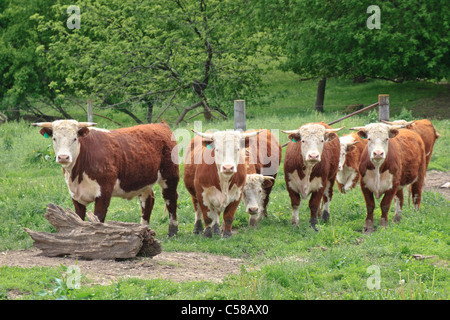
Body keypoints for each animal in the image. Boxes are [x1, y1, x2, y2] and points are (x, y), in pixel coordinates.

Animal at [31, 119, 180, 236]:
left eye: (75, 138)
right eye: (54, 138)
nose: (63, 157)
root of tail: (160, 125)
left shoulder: (104, 192)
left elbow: (98, 218)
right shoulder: (75, 195)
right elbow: (78, 218)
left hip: (170, 176)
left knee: (171, 200)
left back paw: (172, 232)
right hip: (143, 181)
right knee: (147, 202)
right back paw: (144, 229)